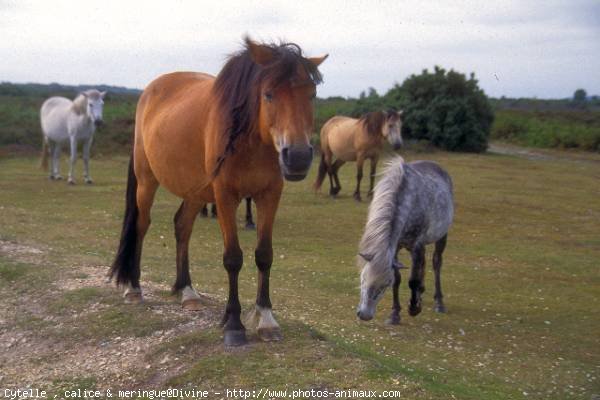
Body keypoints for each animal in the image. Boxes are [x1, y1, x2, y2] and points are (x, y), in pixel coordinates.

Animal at [112, 37, 328, 346]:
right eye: (269, 94)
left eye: (311, 94)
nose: (297, 157)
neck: (250, 140)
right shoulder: (225, 196)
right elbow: (233, 258)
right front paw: (234, 324)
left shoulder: (269, 195)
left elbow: (264, 255)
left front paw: (266, 319)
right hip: (146, 181)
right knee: (141, 226)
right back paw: (133, 288)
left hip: (194, 191)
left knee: (182, 226)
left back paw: (187, 291)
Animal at [356, 156, 450, 324]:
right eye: (363, 279)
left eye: (385, 285)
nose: (365, 315)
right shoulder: (396, 248)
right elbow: (399, 278)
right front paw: (395, 313)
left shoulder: (417, 245)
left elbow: (412, 280)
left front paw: (413, 308)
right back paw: (421, 292)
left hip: (441, 236)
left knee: (436, 263)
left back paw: (439, 303)